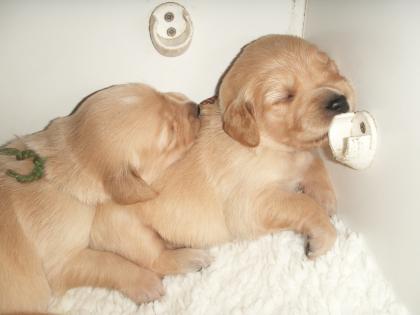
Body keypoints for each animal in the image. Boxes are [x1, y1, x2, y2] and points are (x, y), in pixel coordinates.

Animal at [0, 82, 200, 314]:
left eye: (160, 93)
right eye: (171, 132)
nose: (197, 107)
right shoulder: (61, 262)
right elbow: (109, 261)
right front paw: (146, 283)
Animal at [91, 34, 354, 282]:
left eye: (330, 69)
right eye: (285, 97)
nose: (340, 102)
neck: (268, 145)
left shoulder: (301, 157)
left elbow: (314, 163)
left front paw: (326, 199)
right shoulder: (251, 207)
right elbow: (303, 204)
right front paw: (322, 234)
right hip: (127, 228)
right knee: (154, 260)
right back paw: (190, 259)